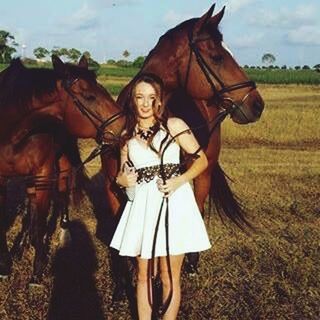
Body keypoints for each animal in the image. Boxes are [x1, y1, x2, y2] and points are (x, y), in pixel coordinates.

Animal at [0, 56, 125, 284]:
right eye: (89, 96)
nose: (126, 125)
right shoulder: (2, 178)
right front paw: (5, 266)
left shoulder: (43, 173)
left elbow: (41, 222)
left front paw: (37, 271)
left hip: (62, 165)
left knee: (63, 192)